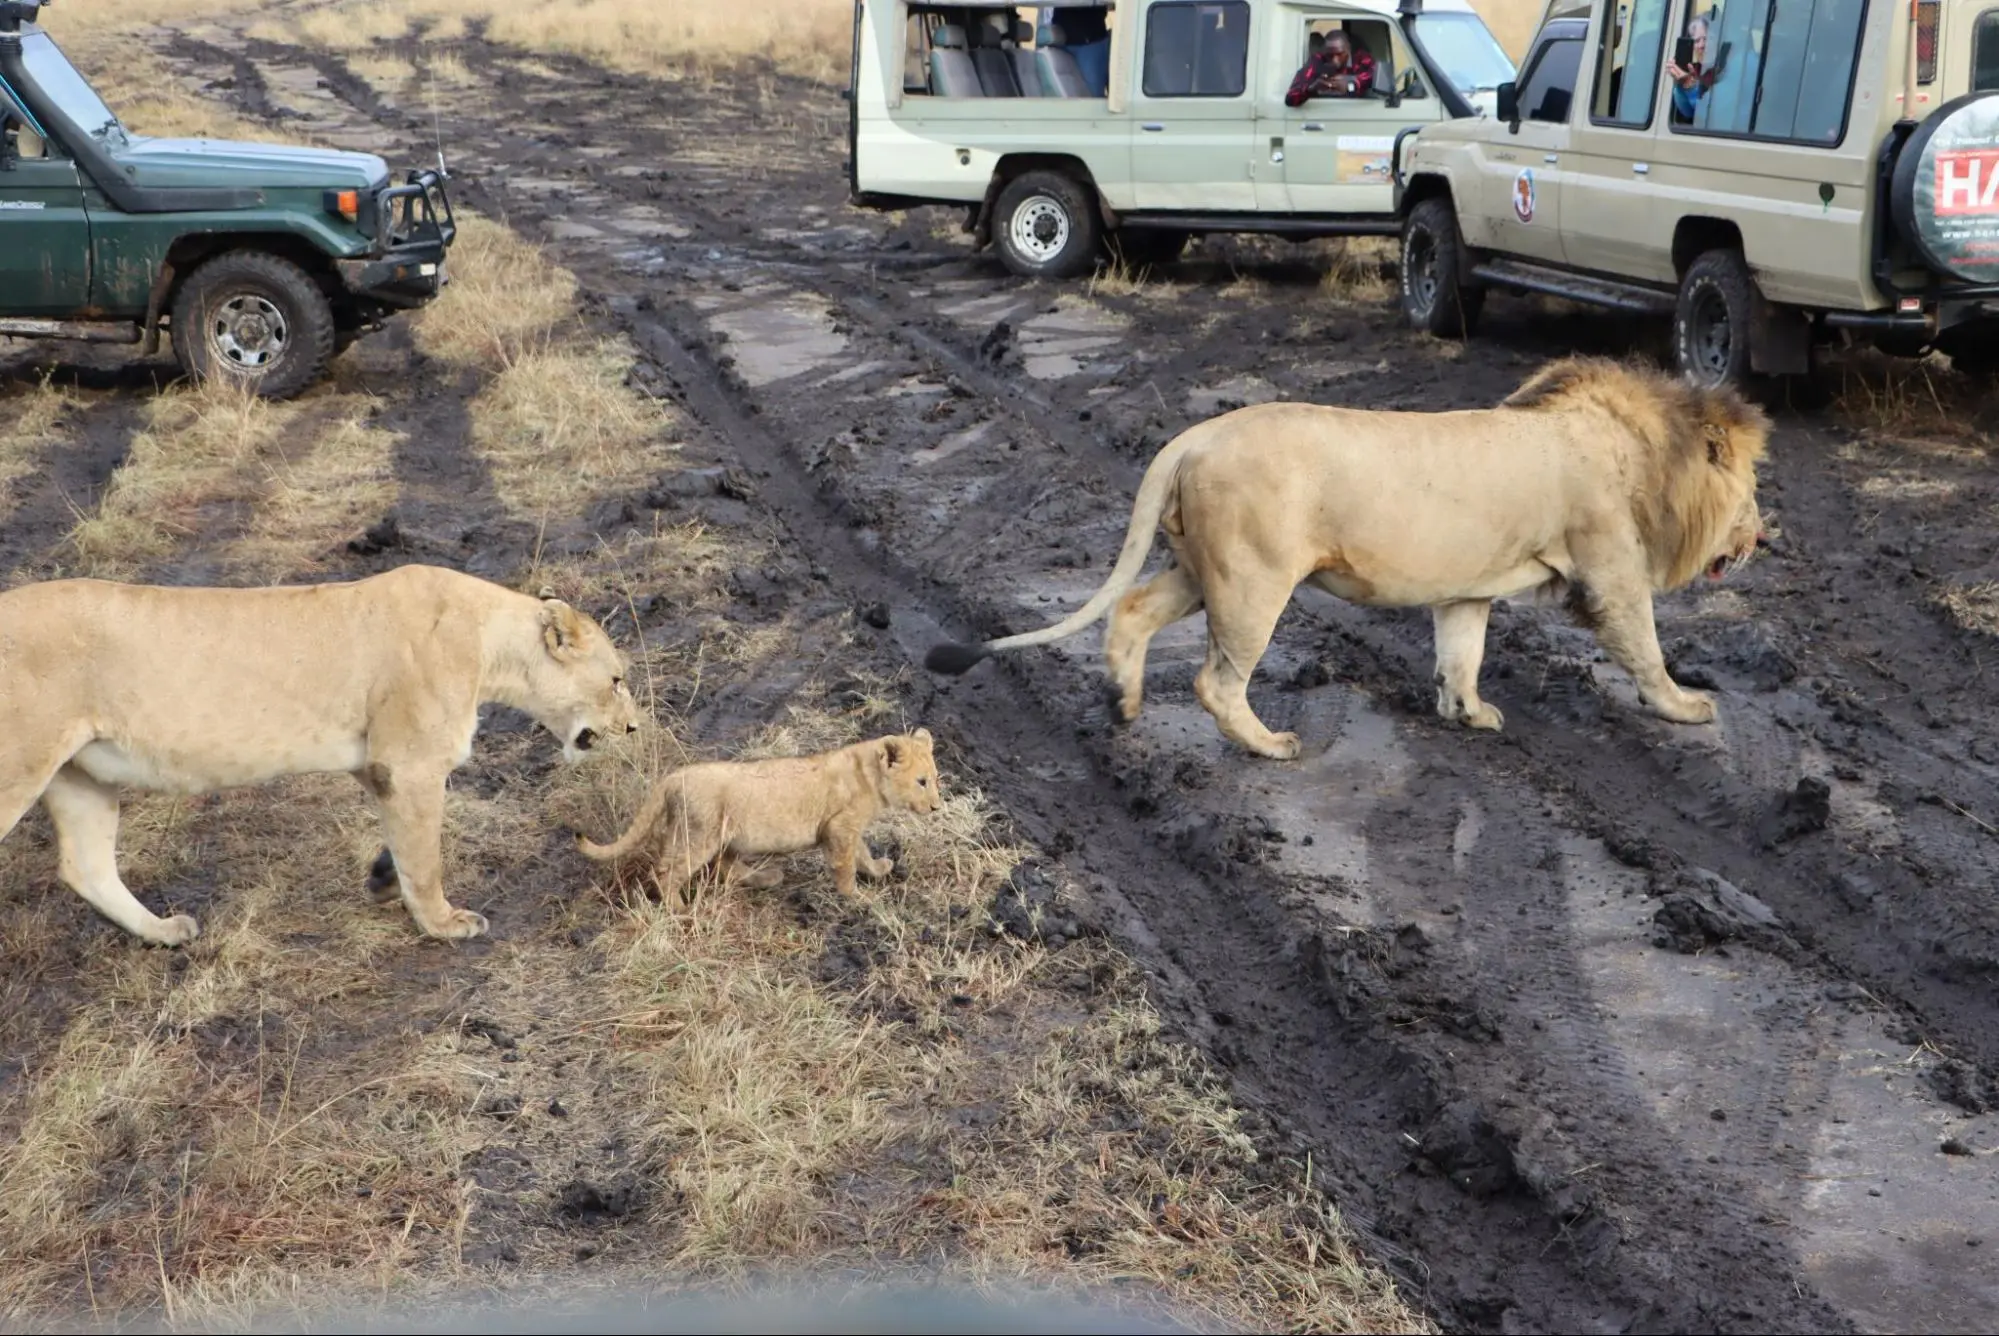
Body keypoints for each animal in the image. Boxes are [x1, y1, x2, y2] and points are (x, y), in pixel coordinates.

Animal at [0, 564, 639, 948]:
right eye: (616, 679)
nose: (634, 727)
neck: (488, 644)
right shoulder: (410, 762)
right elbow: (427, 855)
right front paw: (443, 924)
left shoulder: (376, 763)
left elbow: (406, 843)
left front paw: (383, 879)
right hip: (19, 766)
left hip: (79, 775)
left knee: (86, 866)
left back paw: (165, 931)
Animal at [571, 724, 943, 904]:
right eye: (921, 782)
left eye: (936, 778)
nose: (937, 807)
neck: (868, 773)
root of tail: (674, 777)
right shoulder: (839, 827)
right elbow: (846, 866)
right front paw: (858, 897)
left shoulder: (844, 829)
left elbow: (862, 854)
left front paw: (880, 869)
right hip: (700, 834)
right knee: (667, 871)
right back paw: (680, 911)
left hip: (718, 835)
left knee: (724, 867)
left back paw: (768, 878)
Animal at [919, 354, 1767, 756]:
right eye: (1752, 492)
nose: (1762, 536)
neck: (1648, 455)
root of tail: (1192, 436)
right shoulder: (1609, 568)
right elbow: (1644, 646)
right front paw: (1686, 707)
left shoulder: (1466, 589)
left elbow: (1459, 654)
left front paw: (1467, 714)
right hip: (1252, 577)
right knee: (1214, 680)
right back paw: (1269, 746)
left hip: (1197, 566)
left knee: (1129, 612)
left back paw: (1122, 706)